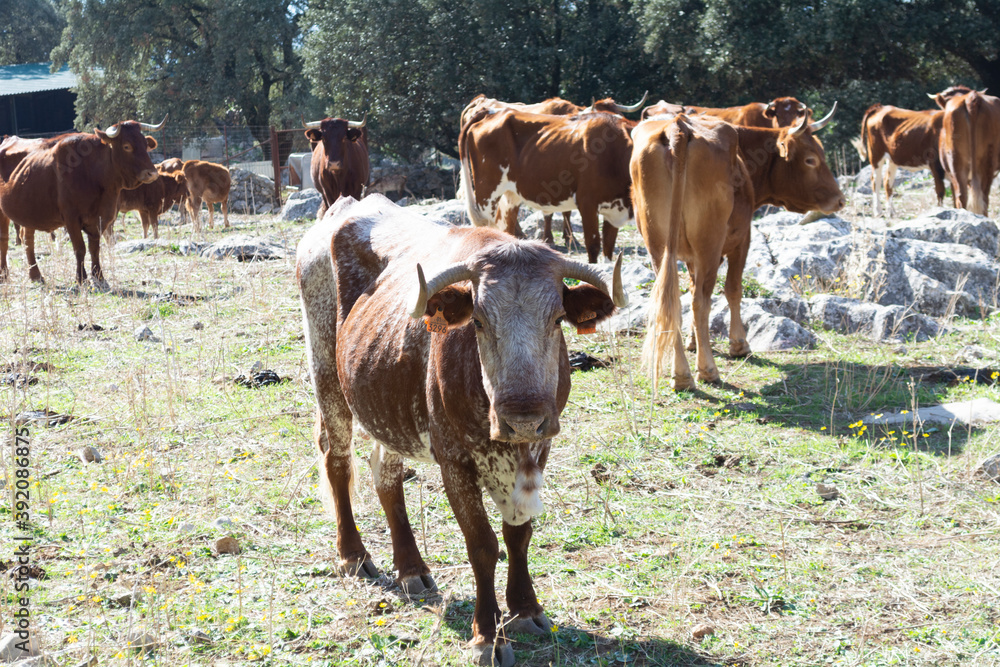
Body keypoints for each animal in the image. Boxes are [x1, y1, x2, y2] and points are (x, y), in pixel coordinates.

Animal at [0, 118, 166, 284]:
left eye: (145, 144)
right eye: (126, 146)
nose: (152, 173)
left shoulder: (100, 218)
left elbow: (94, 248)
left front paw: (99, 276)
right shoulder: (71, 219)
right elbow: (80, 248)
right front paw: (81, 278)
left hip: (29, 213)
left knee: (28, 240)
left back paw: (35, 275)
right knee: (4, 240)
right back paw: (4, 275)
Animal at [294, 194, 624, 667]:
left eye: (558, 318)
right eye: (479, 321)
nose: (523, 418)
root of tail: (347, 205)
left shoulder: (539, 450)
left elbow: (518, 535)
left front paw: (525, 609)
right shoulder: (454, 460)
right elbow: (482, 544)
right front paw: (487, 635)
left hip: (388, 406)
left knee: (386, 474)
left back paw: (411, 568)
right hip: (325, 371)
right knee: (336, 460)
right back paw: (354, 555)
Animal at [632, 109, 844, 392]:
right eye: (811, 159)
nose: (840, 199)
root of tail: (677, 126)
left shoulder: (690, 257)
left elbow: (691, 289)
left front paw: (693, 341)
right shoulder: (742, 240)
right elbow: (733, 290)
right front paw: (739, 344)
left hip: (658, 246)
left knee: (671, 300)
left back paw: (682, 375)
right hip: (709, 245)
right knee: (701, 301)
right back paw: (705, 371)